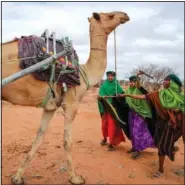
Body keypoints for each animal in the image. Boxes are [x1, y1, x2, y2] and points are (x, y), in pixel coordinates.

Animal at [1, 11, 129, 185]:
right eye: (109, 16)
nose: (125, 15)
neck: (83, 74)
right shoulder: (71, 104)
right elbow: (68, 142)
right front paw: (75, 177)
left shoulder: (50, 106)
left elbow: (39, 138)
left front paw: (17, 177)